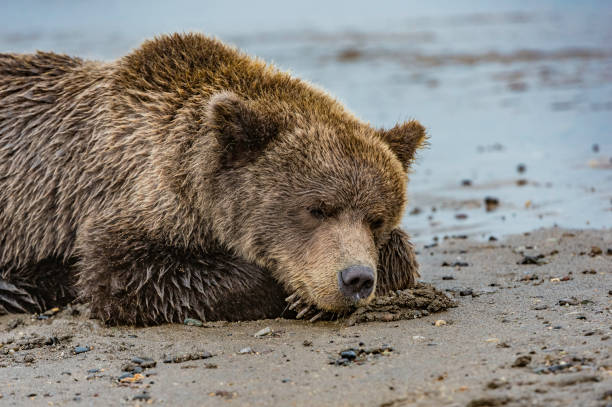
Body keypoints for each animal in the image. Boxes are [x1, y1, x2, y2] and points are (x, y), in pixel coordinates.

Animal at [0, 33, 426, 326]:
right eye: (316, 209)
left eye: (376, 218)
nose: (356, 278)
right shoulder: (130, 193)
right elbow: (120, 274)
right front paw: (286, 292)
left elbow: (401, 254)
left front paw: (310, 298)